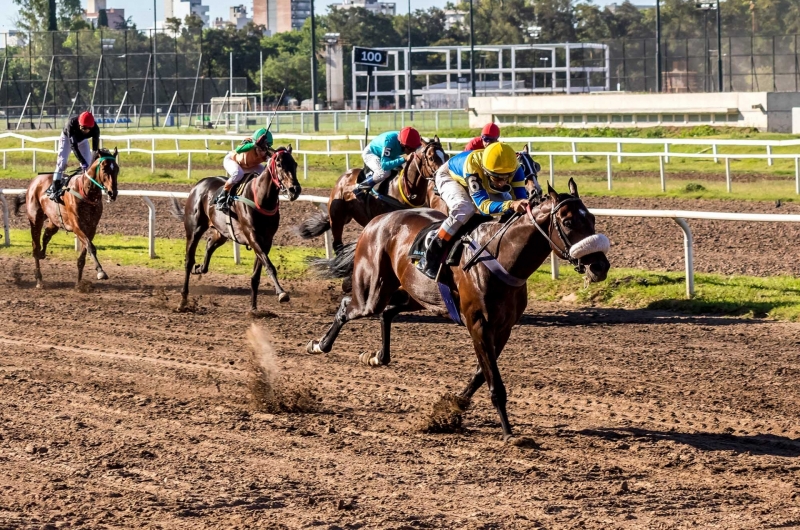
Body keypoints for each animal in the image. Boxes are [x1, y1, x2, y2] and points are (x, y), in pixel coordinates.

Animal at [14, 147, 120, 288]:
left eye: (117, 169)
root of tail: (34, 181)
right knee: (35, 246)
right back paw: (39, 279)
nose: (112, 193)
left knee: (46, 235)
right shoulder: (77, 226)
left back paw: (42, 254)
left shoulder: (91, 228)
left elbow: (84, 254)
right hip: (35, 219)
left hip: (54, 221)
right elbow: (90, 246)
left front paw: (79, 284)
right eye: (104, 169)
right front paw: (100, 272)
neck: (86, 192)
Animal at [170, 144, 302, 312]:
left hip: (221, 232)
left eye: (295, 164)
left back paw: (199, 268)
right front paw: (281, 293)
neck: (261, 198)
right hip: (194, 229)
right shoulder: (252, 236)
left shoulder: (266, 240)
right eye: (279, 164)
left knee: (209, 244)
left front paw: (253, 308)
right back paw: (183, 300)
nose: (294, 189)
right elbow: (269, 266)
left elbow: (257, 274)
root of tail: (198, 185)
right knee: (188, 260)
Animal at [298, 135, 454, 253]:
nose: (444, 176)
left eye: (446, 156)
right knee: (337, 245)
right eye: (431, 158)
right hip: (337, 218)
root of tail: (343, 178)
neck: (405, 191)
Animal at [308, 177, 612, 438]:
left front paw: (453, 407)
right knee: (348, 306)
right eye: (568, 222)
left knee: (388, 311)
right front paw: (508, 433)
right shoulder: (478, 324)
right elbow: (494, 382)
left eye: (592, 219)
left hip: (418, 296)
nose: (600, 266)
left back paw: (378, 356)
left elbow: (480, 374)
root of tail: (376, 221)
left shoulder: (503, 328)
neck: (502, 257)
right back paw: (319, 345)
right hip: (373, 291)